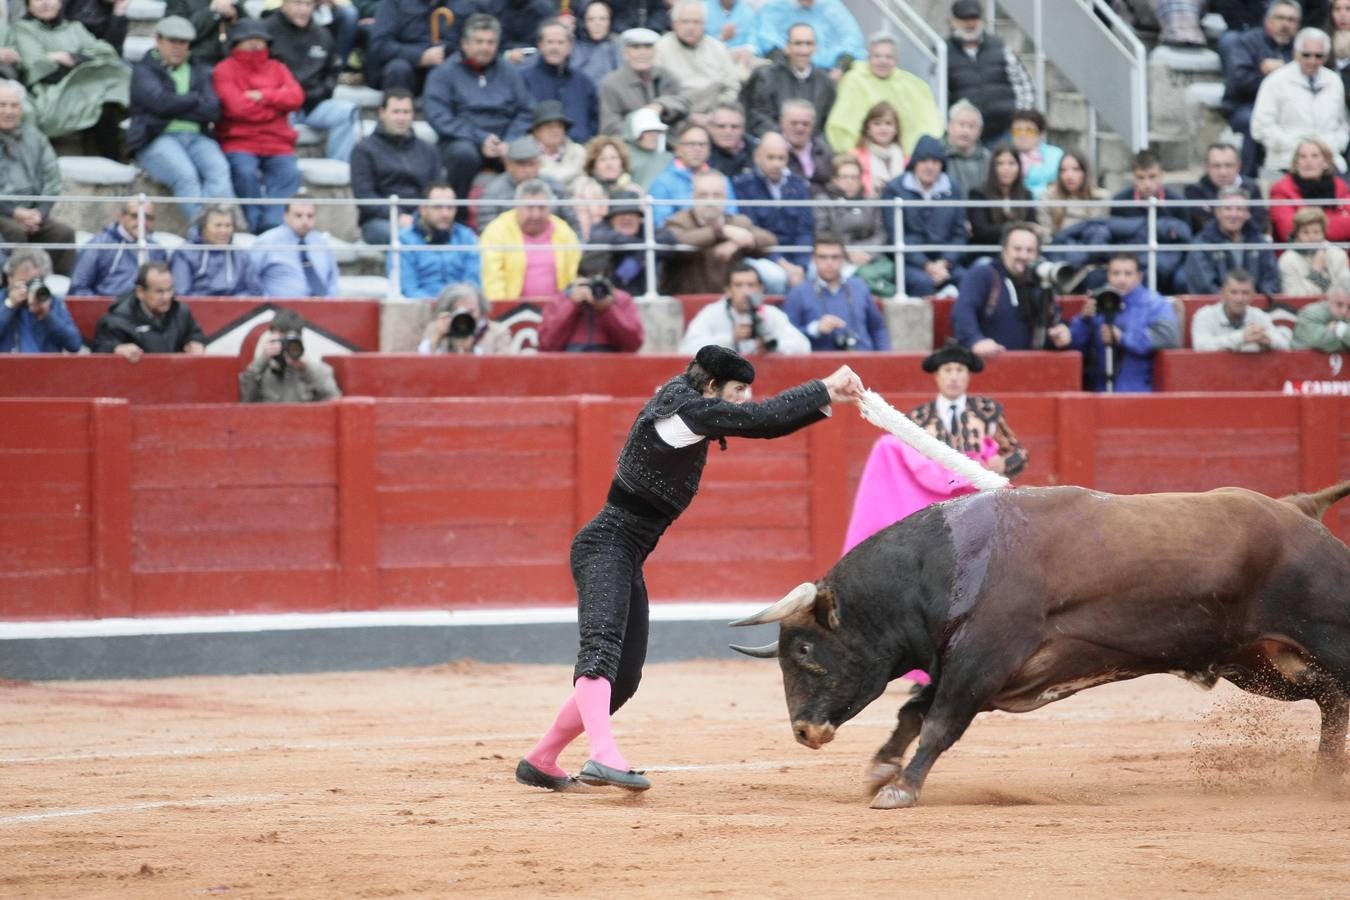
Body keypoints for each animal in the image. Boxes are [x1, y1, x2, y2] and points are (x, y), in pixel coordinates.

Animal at [734, 485, 1350, 809]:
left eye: (805, 652)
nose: (804, 732)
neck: (949, 566)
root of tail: (1299, 508)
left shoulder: (981, 663)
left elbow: (937, 724)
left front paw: (900, 790)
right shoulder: (974, 670)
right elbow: (914, 710)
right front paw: (881, 769)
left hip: (1320, 638)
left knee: (1337, 694)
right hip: (1266, 664)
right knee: (1332, 700)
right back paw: (1323, 779)